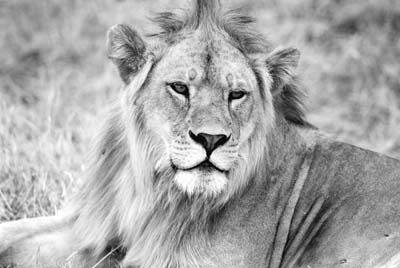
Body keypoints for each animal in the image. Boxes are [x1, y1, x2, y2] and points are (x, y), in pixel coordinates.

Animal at [0, 0, 400, 268]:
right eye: (180, 88)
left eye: (236, 94)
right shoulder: (89, 227)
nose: (211, 139)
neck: (151, 193)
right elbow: (13, 231)